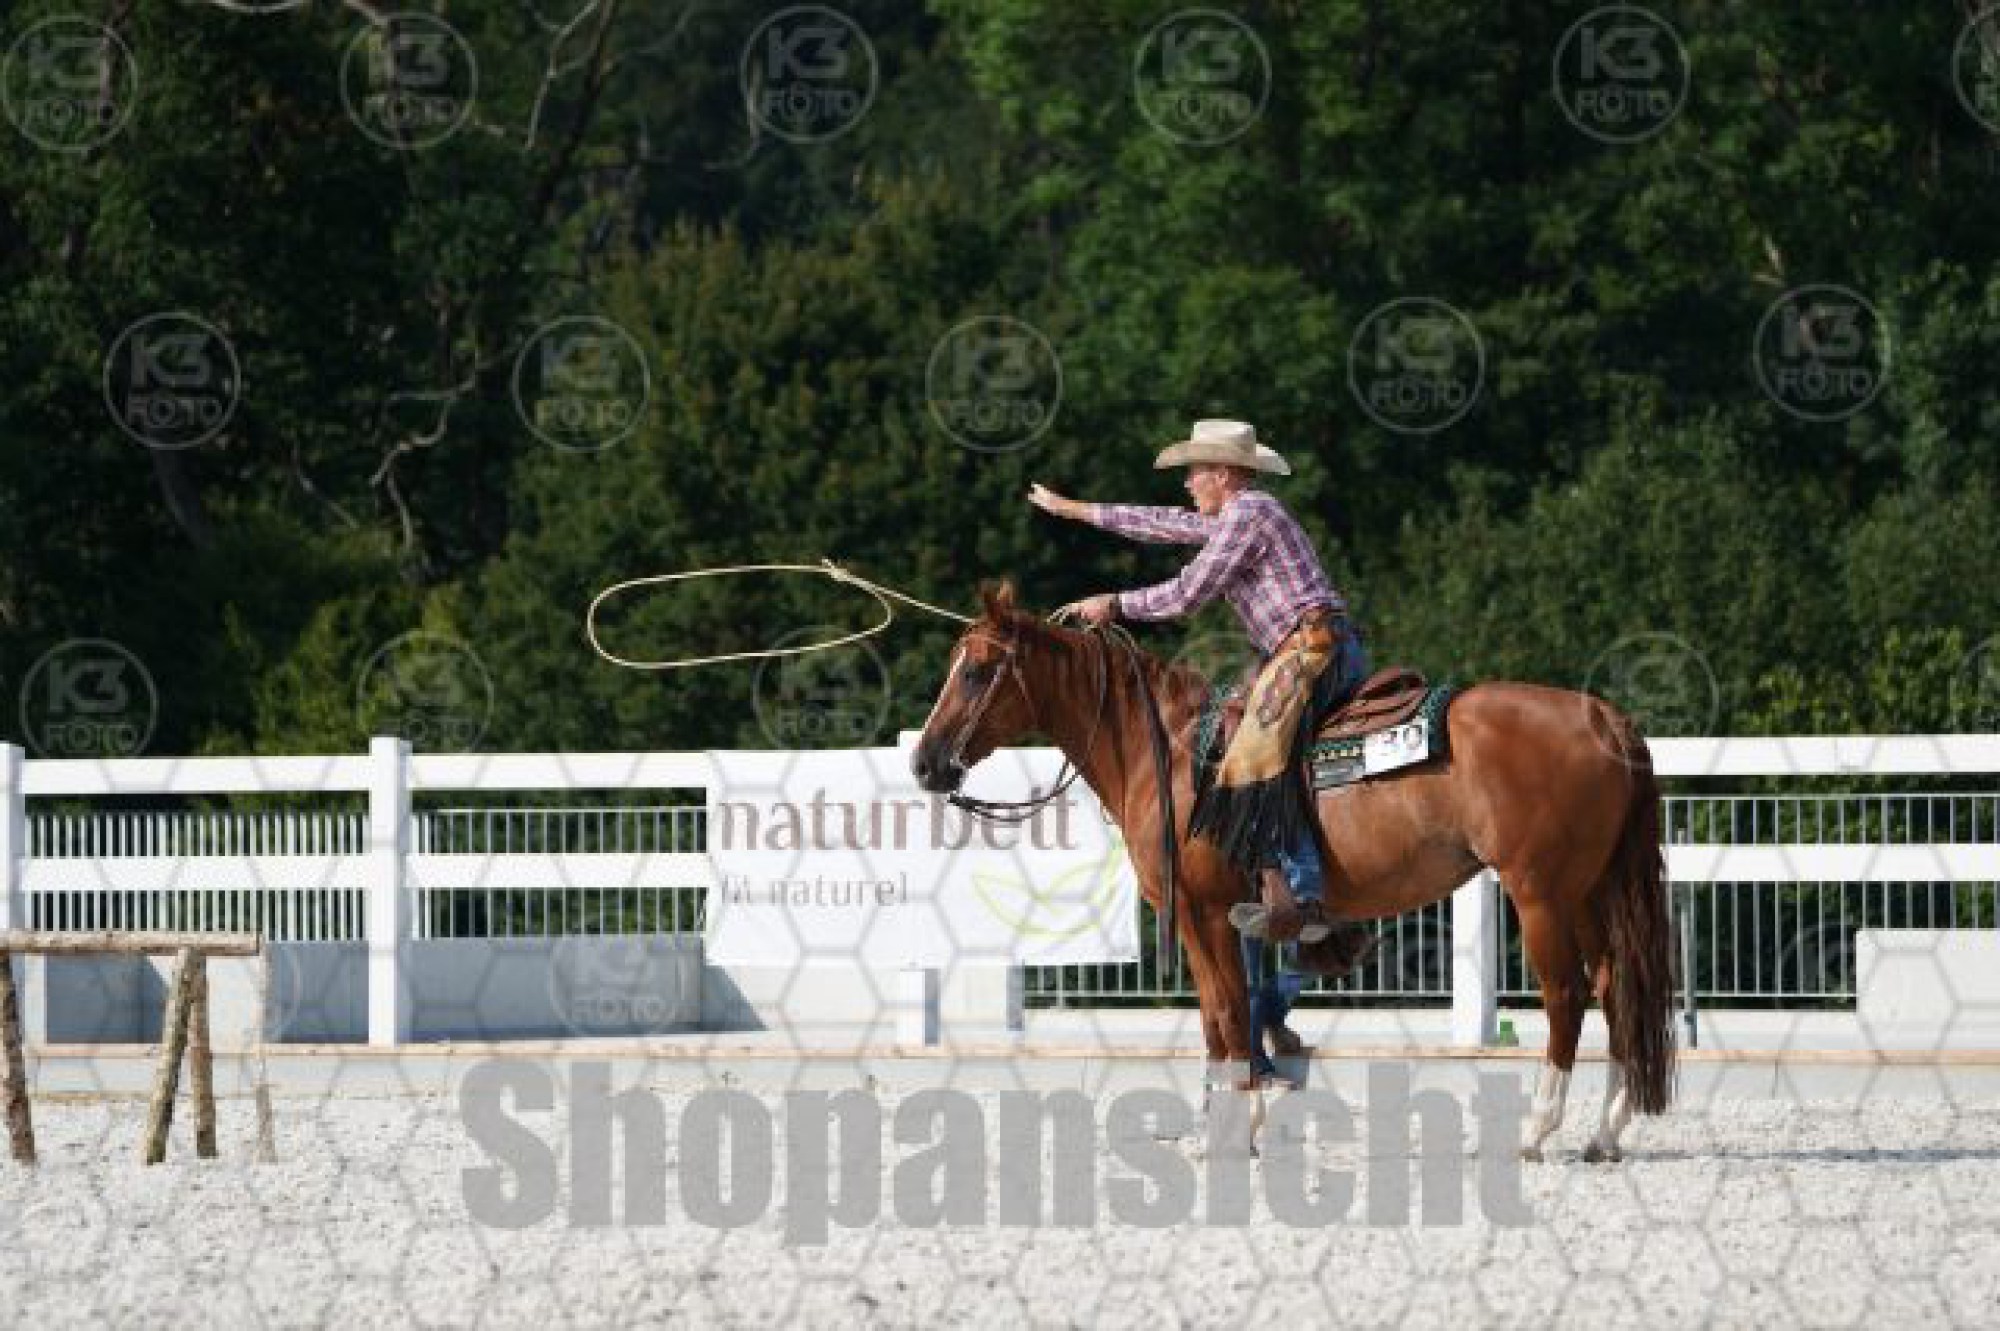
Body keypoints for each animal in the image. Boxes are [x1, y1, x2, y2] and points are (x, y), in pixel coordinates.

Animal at [909, 582, 1677, 1162]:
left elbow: (1226, 1012)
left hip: (1541, 892)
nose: (925, 762)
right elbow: (1224, 1015)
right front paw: (1221, 1125)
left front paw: (1233, 1127)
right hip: (1591, 890)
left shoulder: (1203, 911)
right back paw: (1606, 1133)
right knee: (1615, 988)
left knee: (1567, 995)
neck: (1172, 756)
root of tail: (1604, 717)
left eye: (975, 670)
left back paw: (1536, 1131)